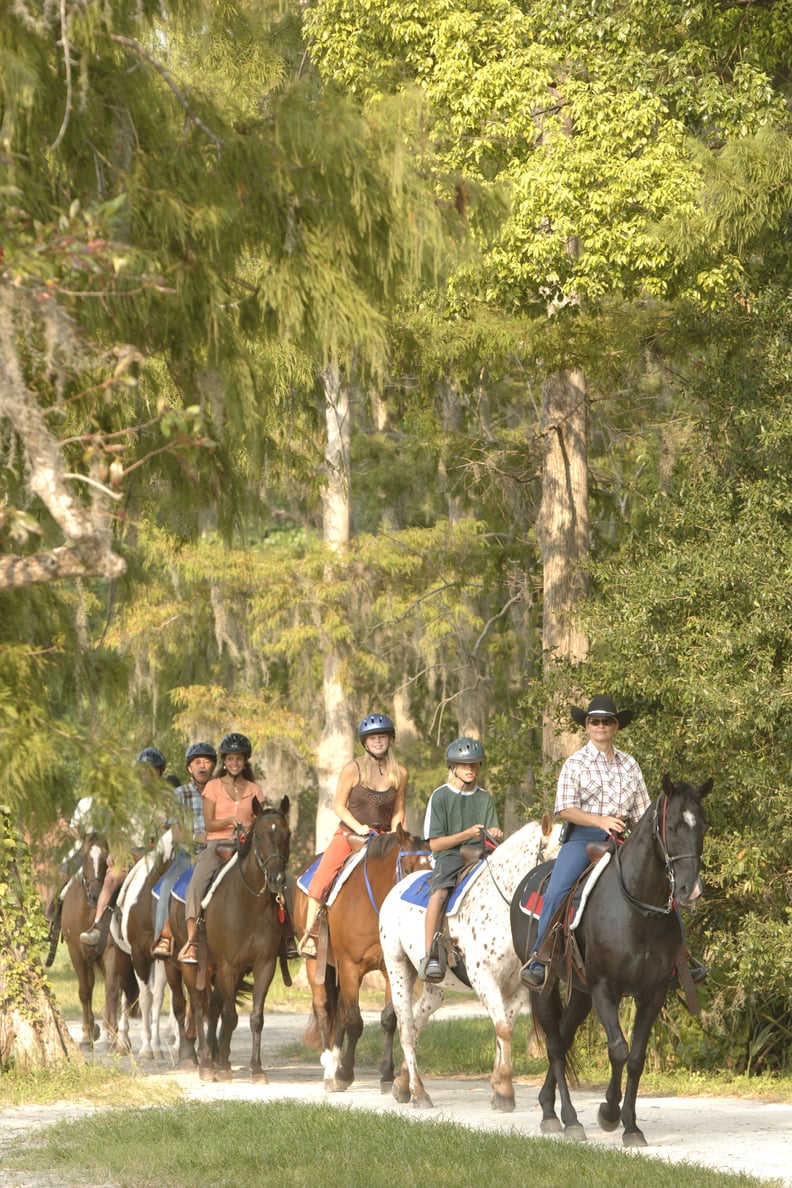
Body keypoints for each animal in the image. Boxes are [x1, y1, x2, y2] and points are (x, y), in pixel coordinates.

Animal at [170, 803, 290, 1083]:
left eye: (286, 834)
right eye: (259, 836)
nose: (277, 880)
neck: (249, 904)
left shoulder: (263, 964)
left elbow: (254, 1017)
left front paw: (255, 1069)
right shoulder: (228, 965)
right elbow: (229, 1015)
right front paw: (222, 1067)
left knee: (212, 1007)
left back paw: (214, 1057)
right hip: (192, 965)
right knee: (199, 1007)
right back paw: (205, 1063)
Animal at [293, 826, 429, 1092]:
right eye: (408, 868)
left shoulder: (390, 968)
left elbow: (388, 1019)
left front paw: (386, 1075)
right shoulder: (349, 967)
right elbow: (354, 1021)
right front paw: (345, 1073)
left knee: (339, 1011)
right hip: (316, 963)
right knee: (323, 1008)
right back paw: (329, 1068)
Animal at [515, 774, 712, 1145]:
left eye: (703, 826)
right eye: (672, 826)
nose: (689, 890)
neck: (637, 910)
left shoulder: (653, 992)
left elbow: (636, 1057)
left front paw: (631, 1126)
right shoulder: (605, 989)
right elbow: (618, 1049)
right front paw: (608, 1114)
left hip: (580, 993)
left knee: (564, 1037)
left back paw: (548, 1107)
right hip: (544, 987)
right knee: (554, 1044)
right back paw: (566, 1119)